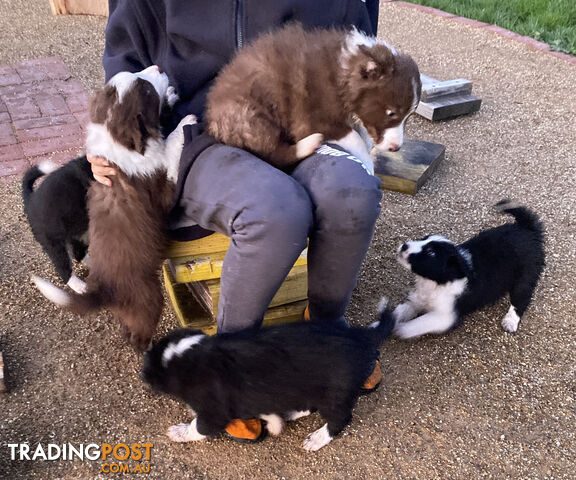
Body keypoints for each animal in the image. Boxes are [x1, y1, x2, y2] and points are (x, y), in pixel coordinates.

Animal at [21, 156, 93, 294]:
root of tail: (30, 200)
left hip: (80, 232)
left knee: (78, 254)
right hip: (54, 243)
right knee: (63, 269)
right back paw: (80, 286)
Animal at [34, 65, 196, 350]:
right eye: (146, 90)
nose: (159, 67)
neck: (116, 141)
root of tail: (103, 291)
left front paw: (172, 95)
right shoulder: (162, 188)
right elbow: (171, 149)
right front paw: (185, 122)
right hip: (148, 297)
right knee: (138, 336)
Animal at [142, 306, 398, 452]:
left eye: (157, 370)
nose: (143, 370)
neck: (197, 354)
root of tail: (361, 336)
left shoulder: (214, 412)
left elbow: (198, 428)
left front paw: (179, 432)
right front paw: (274, 423)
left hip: (335, 394)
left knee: (341, 419)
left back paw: (316, 439)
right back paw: (291, 413)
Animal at [205, 23, 420, 174]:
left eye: (408, 117)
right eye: (391, 113)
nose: (396, 148)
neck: (344, 73)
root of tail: (212, 118)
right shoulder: (312, 118)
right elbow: (354, 137)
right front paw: (368, 164)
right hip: (250, 115)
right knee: (273, 153)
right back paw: (309, 143)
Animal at [394, 201, 548, 340]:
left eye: (431, 252)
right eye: (424, 238)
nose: (404, 246)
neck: (436, 282)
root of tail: (527, 229)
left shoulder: (445, 316)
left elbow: (420, 323)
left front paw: (402, 329)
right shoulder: (419, 298)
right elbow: (403, 309)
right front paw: (392, 318)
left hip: (525, 277)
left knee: (521, 299)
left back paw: (510, 320)